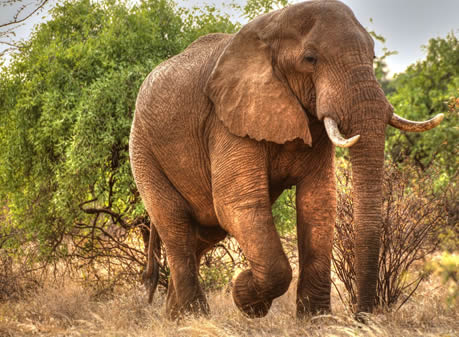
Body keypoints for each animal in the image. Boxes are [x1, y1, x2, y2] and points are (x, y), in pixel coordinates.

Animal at [128, 0, 442, 318]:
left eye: (374, 56)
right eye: (310, 58)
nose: (362, 316)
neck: (272, 27)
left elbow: (318, 201)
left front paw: (316, 320)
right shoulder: (226, 120)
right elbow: (237, 203)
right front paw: (244, 294)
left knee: (201, 234)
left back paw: (175, 317)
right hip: (143, 150)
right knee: (176, 225)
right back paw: (194, 317)